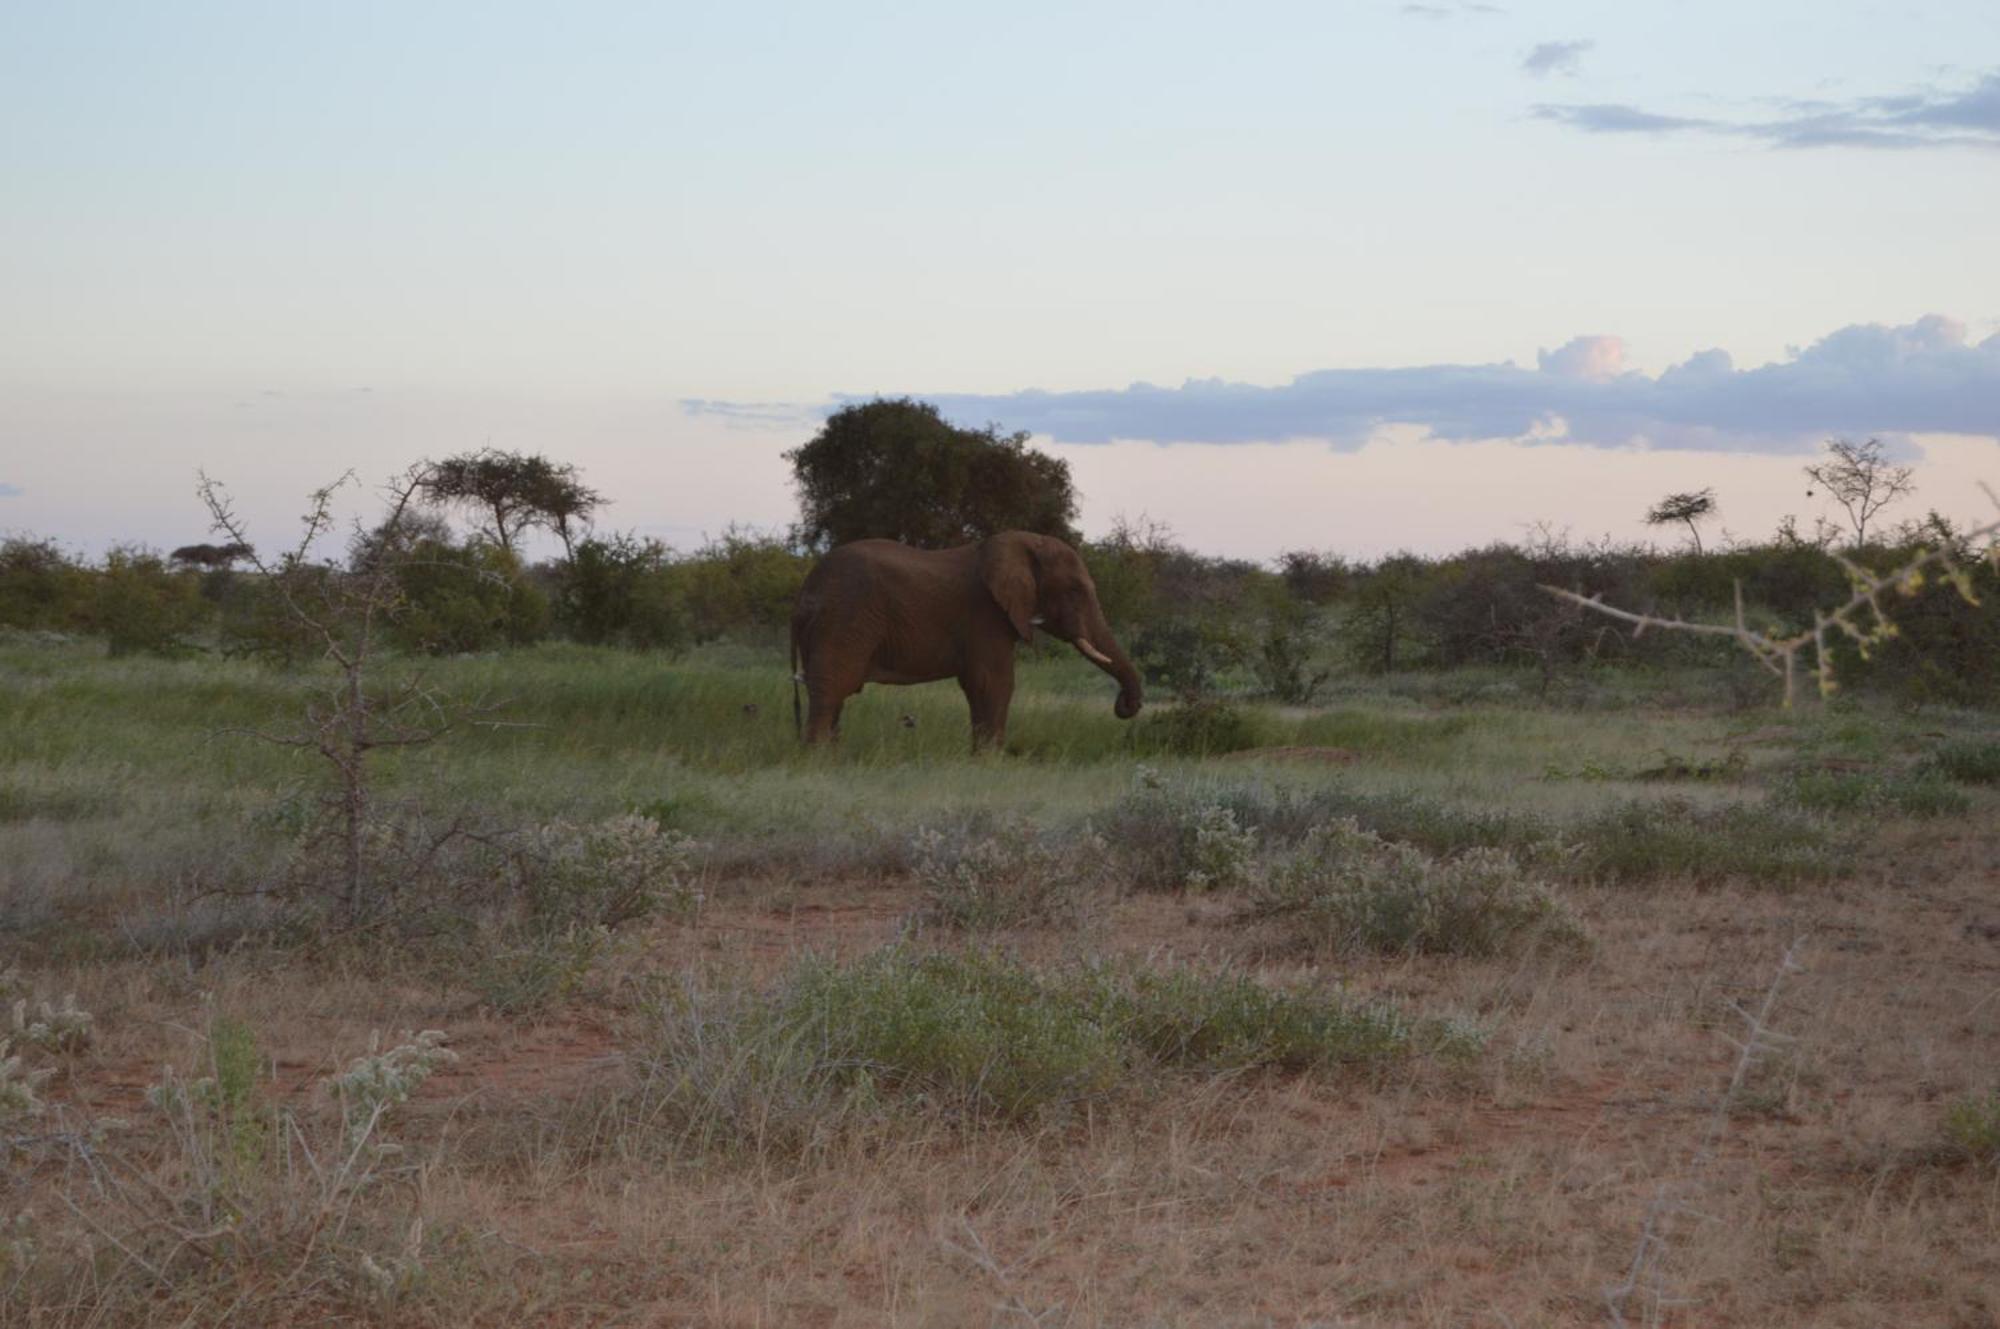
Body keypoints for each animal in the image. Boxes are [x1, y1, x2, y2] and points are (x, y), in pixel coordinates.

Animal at [792, 532, 1144, 756]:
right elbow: (993, 683)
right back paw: (819, 760)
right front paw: (990, 762)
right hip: (844, 618)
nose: (1123, 705)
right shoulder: (985, 615)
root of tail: (806, 589)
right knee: (832, 689)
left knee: (833, 692)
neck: (1023, 543)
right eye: (1074, 591)